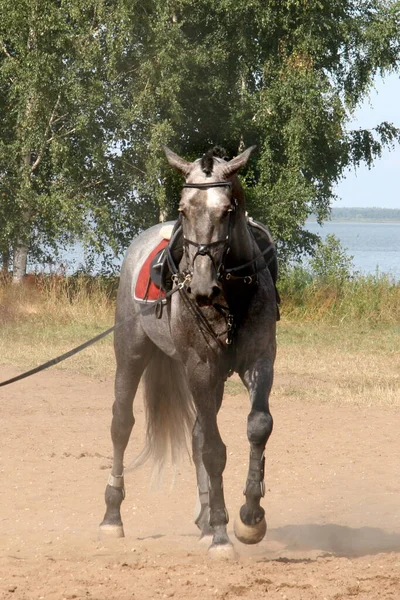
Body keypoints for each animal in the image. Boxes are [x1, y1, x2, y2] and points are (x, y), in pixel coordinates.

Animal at [98, 145, 276, 556]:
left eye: (227, 210)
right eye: (183, 209)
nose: (201, 287)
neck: (230, 295)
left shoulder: (260, 361)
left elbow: (257, 426)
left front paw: (249, 518)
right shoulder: (200, 368)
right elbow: (213, 449)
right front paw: (223, 535)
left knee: (196, 434)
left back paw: (206, 520)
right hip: (131, 355)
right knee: (122, 424)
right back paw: (113, 516)